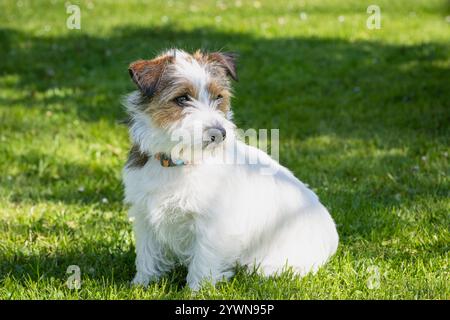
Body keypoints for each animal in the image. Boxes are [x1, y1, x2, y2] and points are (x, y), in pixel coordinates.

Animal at [121, 49, 340, 290]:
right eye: (182, 99)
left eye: (219, 97)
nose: (219, 133)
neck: (180, 162)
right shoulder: (145, 216)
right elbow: (147, 254)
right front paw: (141, 285)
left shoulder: (212, 225)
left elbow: (203, 260)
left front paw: (196, 291)